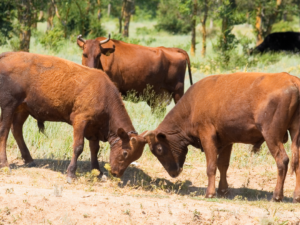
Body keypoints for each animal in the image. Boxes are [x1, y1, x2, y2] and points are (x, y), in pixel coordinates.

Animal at [0, 51, 146, 180]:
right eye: (125, 153)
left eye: (135, 157)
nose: (116, 173)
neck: (104, 94)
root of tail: (6, 55)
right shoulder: (80, 121)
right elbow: (78, 147)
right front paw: (71, 174)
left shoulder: (94, 128)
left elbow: (94, 148)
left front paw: (98, 172)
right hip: (9, 106)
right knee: (4, 132)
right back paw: (5, 165)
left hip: (23, 108)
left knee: (16, 129)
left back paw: (29, 160)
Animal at [143, 73, 300, 203]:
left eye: (159, 149)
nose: (173, 173)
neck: (193, 104)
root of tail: (293, 81)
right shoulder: (226, 141)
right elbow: (222, 164)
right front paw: (223, 190)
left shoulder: (207, 136)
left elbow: (211, 166)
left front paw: (210, 193)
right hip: (295, 135)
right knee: (297, 161)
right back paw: (296, 196)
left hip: (271, 136)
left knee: (282, 160)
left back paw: (277, 196)